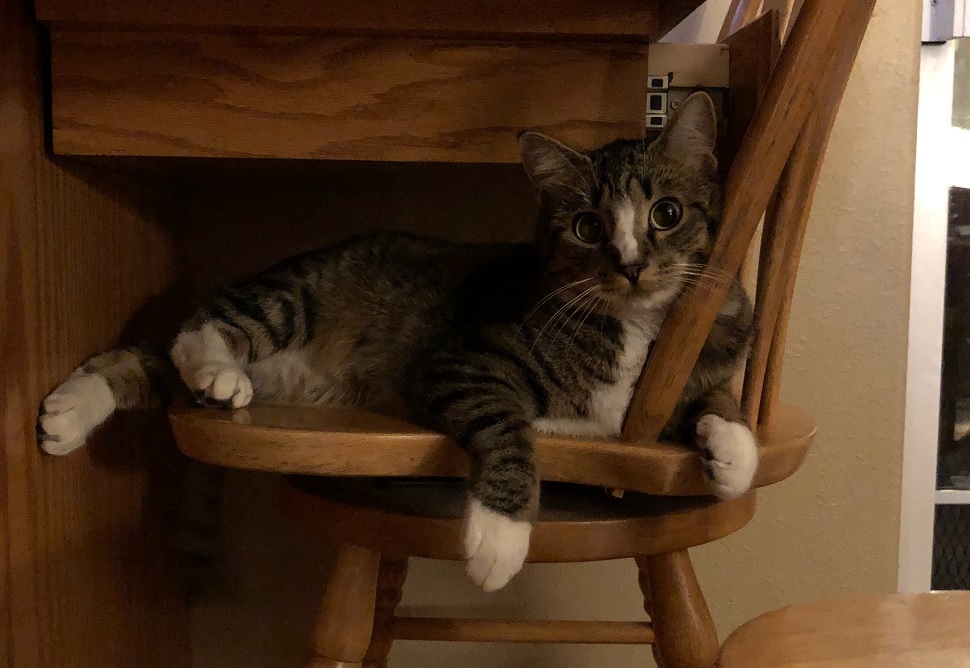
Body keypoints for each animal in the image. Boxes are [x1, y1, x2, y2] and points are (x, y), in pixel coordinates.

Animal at [37, 91, 756, 592]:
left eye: (667, 213)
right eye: (586, 226)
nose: (632, 265)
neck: (637, 325)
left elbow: (719, 398)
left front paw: (733, 451)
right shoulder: (467, 362)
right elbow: (510, 427)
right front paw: (499, 538)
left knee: (151, 361)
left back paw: (69, 413)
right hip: (293, 297)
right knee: (195, 331)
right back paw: (213, 370)